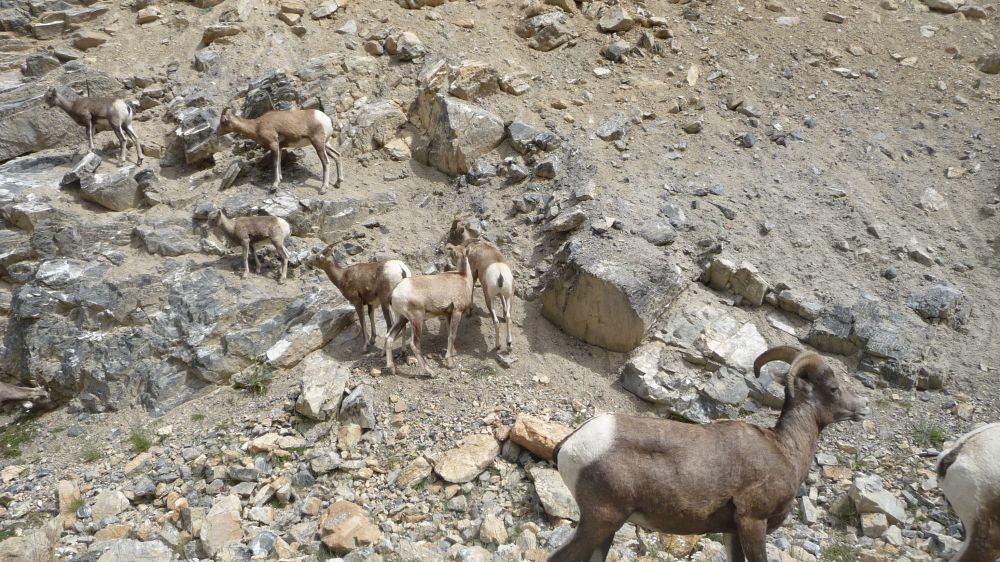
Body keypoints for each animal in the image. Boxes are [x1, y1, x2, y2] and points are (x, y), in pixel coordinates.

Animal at [385, 244, 475, 377]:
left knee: (389, 338)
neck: (464, 278)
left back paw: (392, 369)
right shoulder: (457, 312)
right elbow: (452, 335)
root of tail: (395, 293)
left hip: (401, 318)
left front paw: (452, 353)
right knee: (414, 344)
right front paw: (450, 363)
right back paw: (431, 373)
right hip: (416, 319)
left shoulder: (448, 314)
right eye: (453, 253)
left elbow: (449, 333)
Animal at [446, 217, 514, 352]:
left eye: (452, 234)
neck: (475, 247)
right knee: (508, 317)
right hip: (509, 296)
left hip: (489, 299)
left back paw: (498, 346)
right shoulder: (502, 295)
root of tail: (500, 274)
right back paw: (509, 344)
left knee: (496, 322)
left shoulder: (473, 274)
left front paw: (470, 311)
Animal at [548, 346, 870, 562]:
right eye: (833, 388)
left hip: (607, 528)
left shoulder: (732, 532)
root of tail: (571, 444)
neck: (785, 450)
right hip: (602, 520)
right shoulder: (753, 522)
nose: (862, 407)